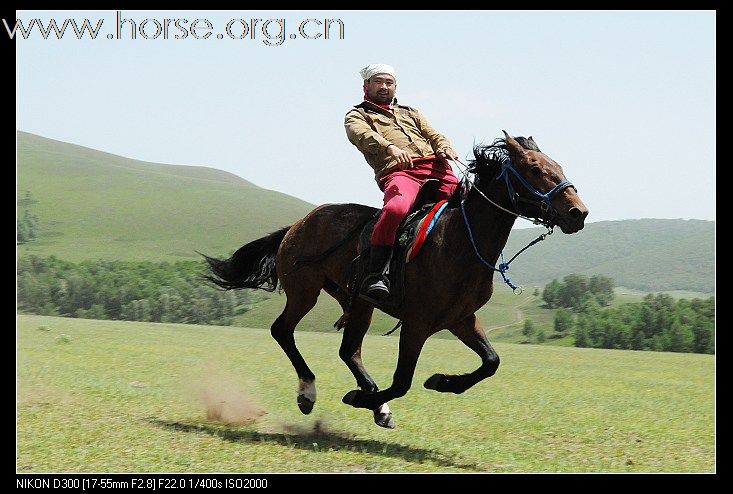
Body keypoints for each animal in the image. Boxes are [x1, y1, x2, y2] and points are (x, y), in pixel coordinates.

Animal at [204, 132, 588, 428]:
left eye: (558, 167)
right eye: (535, 169)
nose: (578, 213)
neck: (460, 242)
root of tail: (297, 225)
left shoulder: (462, 320)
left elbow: (491, 362)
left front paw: (442, 382)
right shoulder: (417, 323)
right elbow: (403, 380)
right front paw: (360, 398)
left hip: (357, 301)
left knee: (349, 350)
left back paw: (376, 403)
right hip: (305, 291)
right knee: (283, 331)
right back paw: (312, 393)